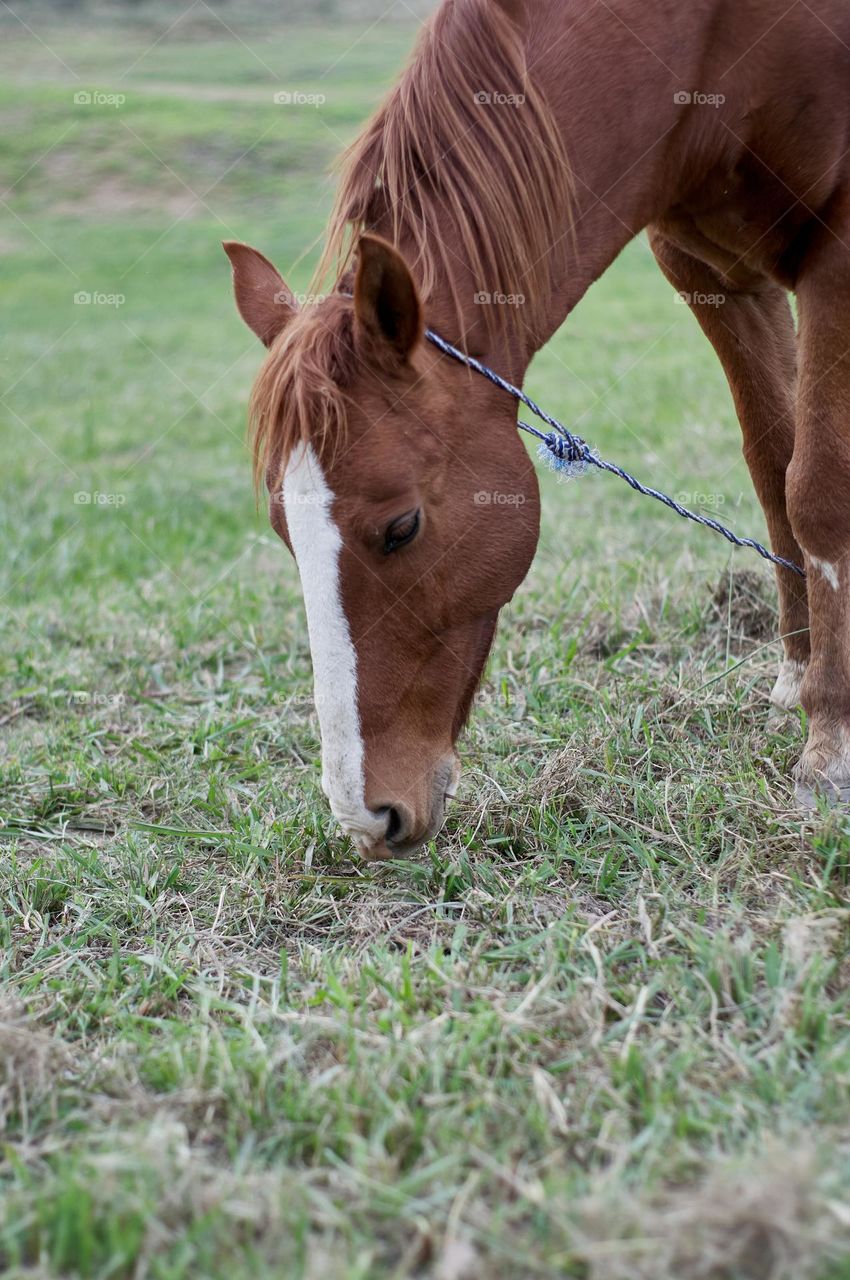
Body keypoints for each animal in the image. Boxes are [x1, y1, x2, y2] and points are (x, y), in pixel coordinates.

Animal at [225, 0, 850, 860]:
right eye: (284, 532)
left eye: (402, 527)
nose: (366, 816)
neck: (708, 41)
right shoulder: (708, 269)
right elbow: (773, 461)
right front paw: (799, 669)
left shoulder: (839, 251)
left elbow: (818, 485)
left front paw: (831, 745)